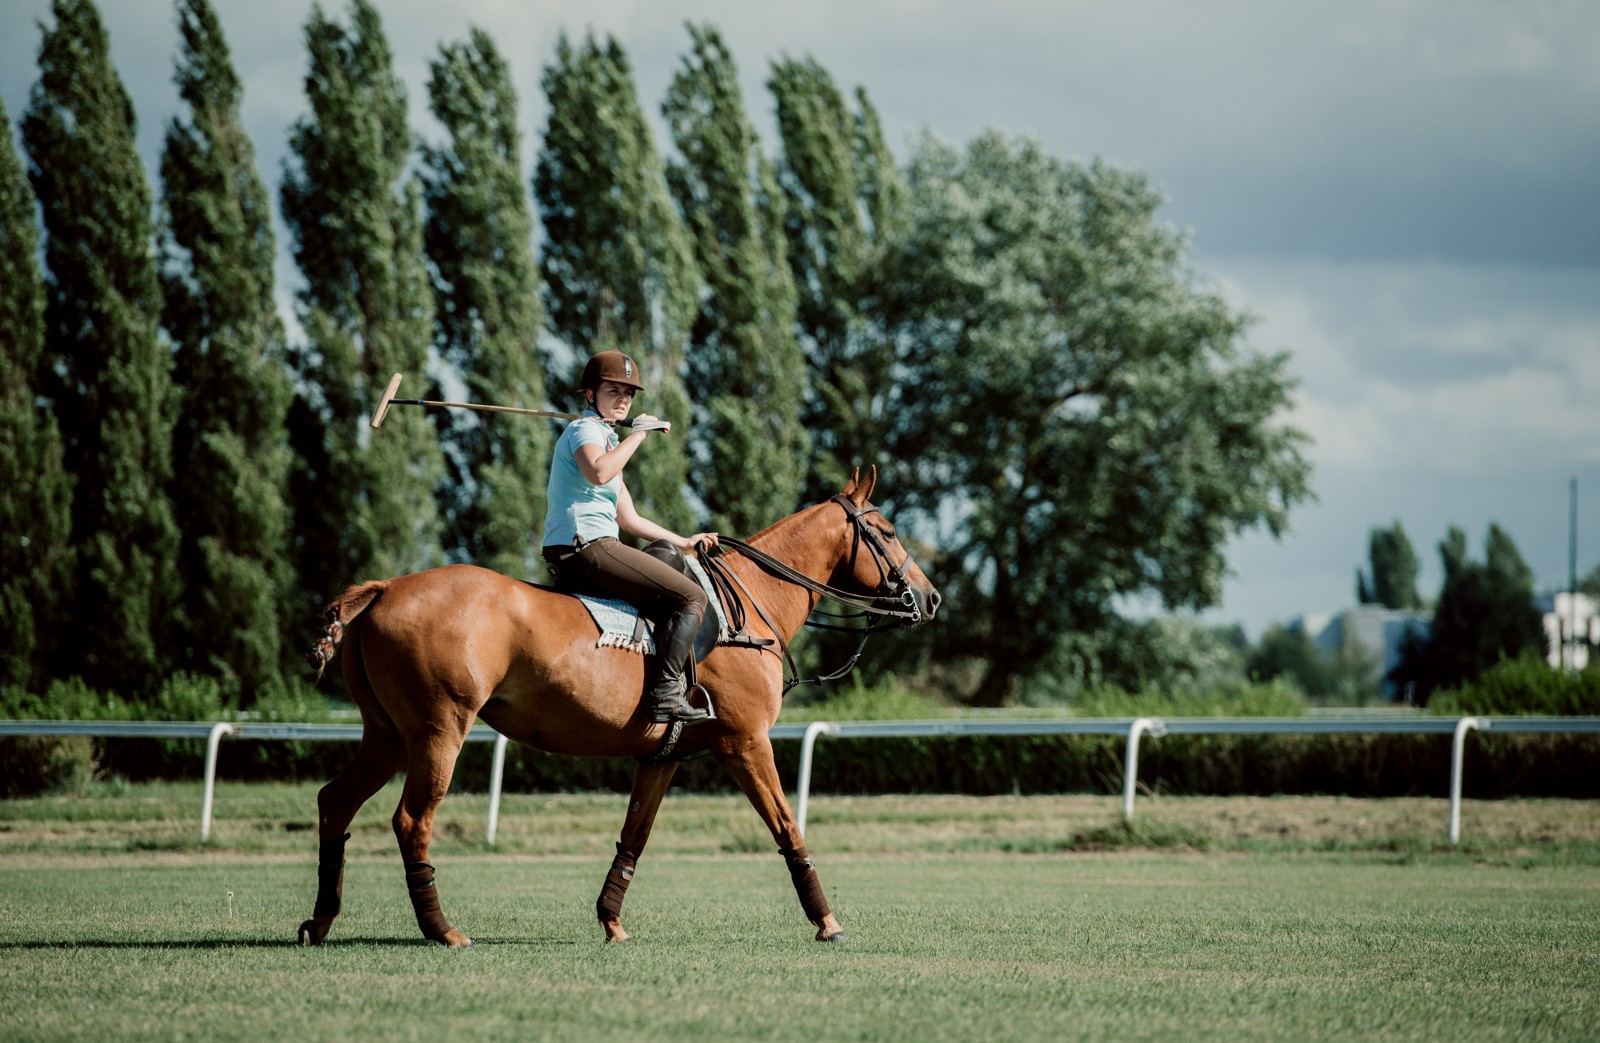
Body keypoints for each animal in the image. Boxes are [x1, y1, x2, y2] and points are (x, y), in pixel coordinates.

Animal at [300, 467, 934, 947]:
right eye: (887, 530)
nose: (929, 598)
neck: (749, 606)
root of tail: (385, 588)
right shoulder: (746, 742)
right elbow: (787, 827)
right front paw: (827, 921)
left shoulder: (662, 756)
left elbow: (635, 835)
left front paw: (611, 921)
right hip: (439, 730)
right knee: (412, 820)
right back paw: (442, 930)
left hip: (386, 734)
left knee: (336, 801)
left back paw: (320, 921)